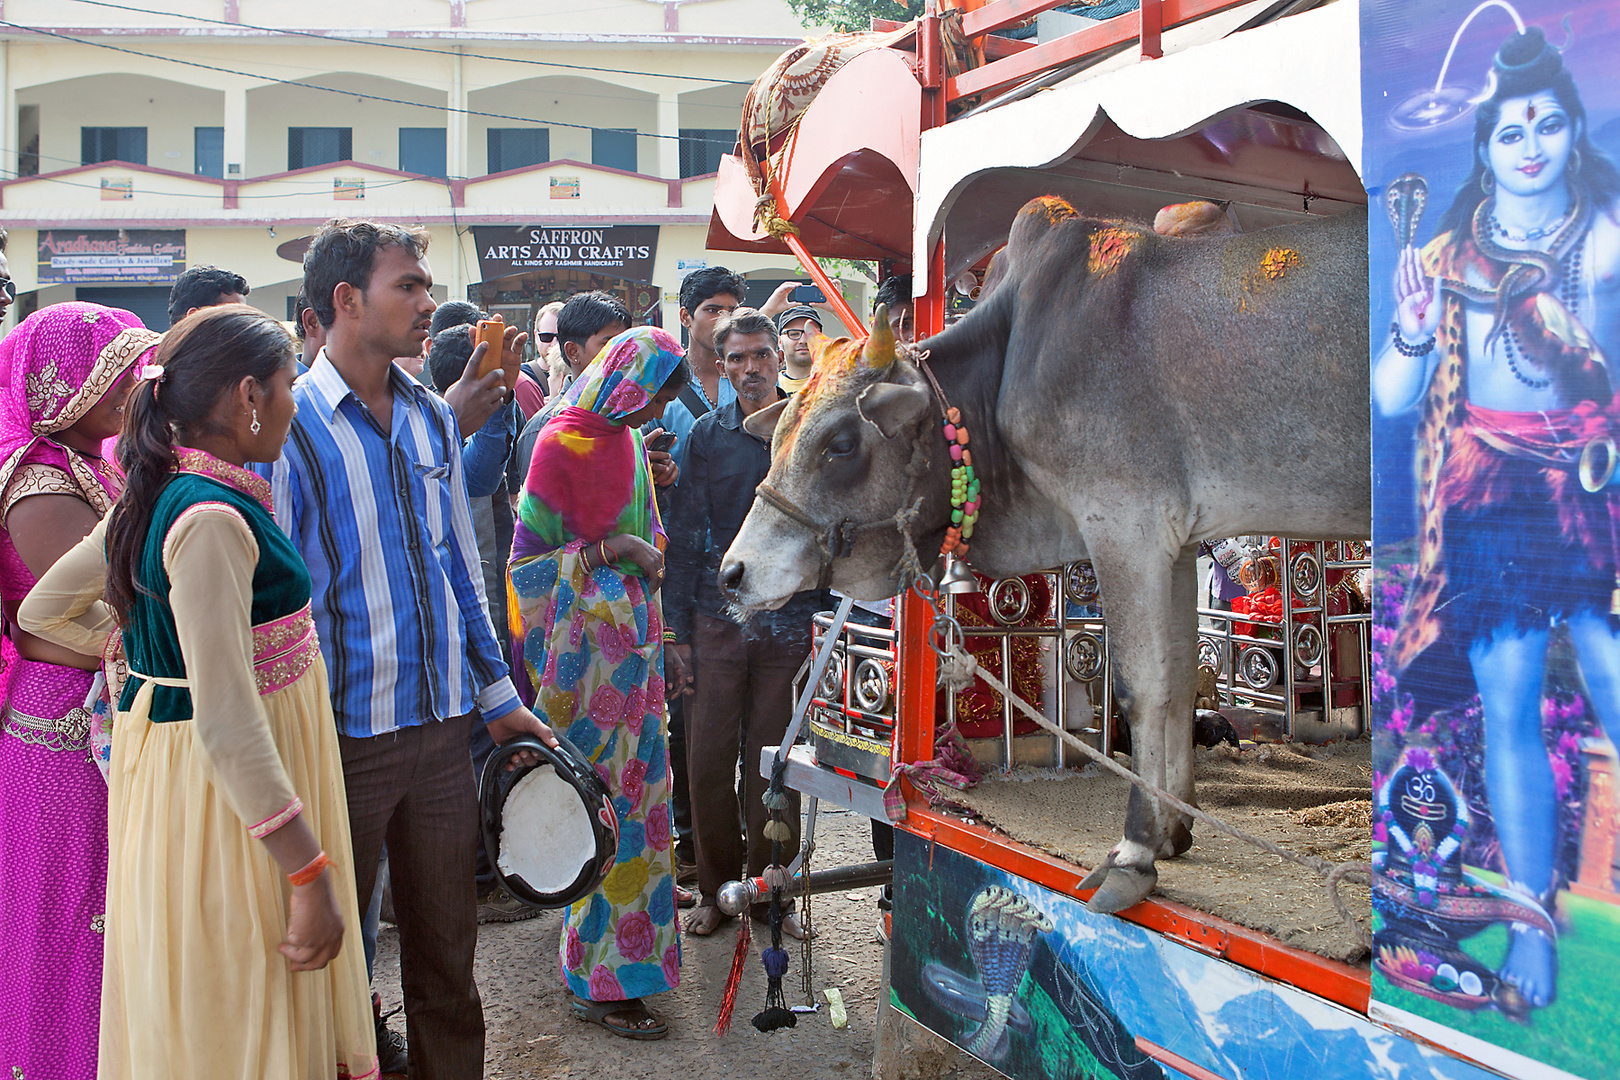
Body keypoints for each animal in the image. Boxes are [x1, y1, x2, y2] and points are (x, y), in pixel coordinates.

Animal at [722, 194, 1367, 913]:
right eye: (780, 433)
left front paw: (1135, 852)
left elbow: (1144, 687)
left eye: (839, 443)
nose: (733, 573)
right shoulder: (1174, 544)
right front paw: (1174, 828)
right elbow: (1175, 680)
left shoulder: (1127, 522)